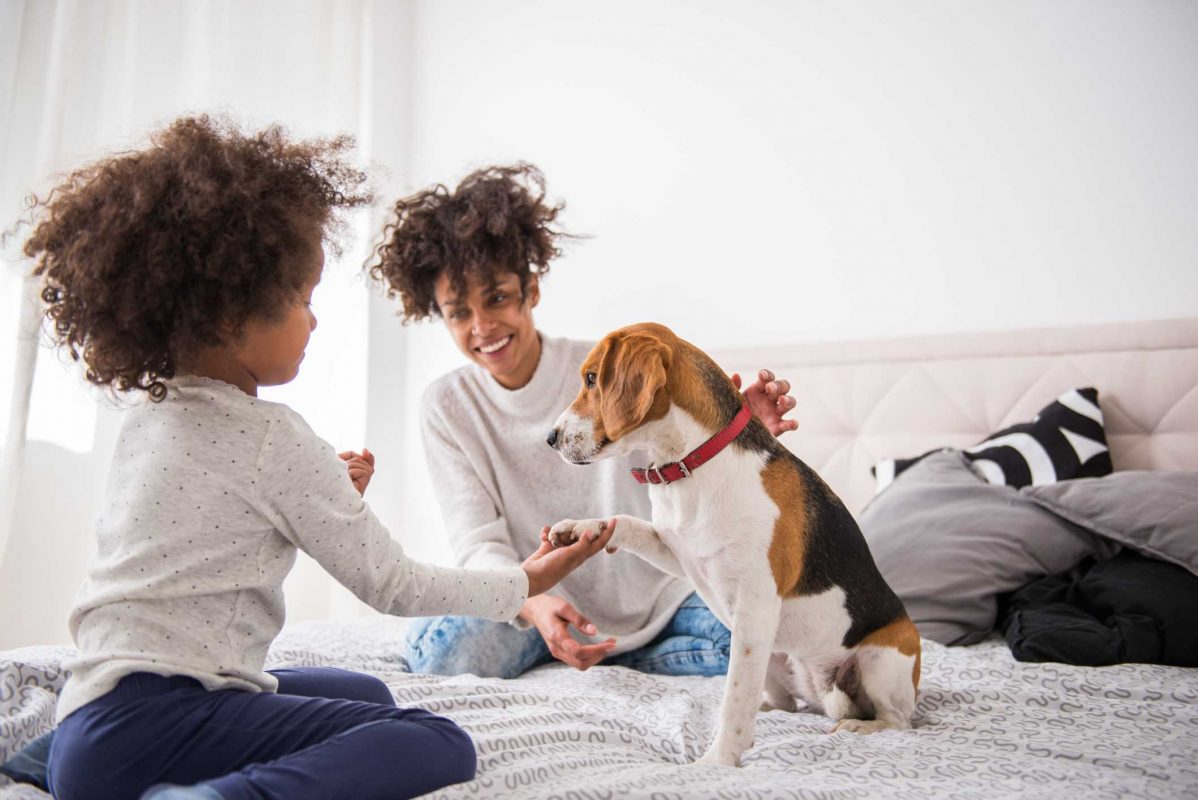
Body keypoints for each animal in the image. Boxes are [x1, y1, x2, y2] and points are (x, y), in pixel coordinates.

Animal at [548, 320, 920, 766]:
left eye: (591, 379)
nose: (550, 438)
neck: (691, 464)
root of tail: (823, 688)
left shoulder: (754, 609)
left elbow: (734, 699)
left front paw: (717, 762)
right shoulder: (677, 552)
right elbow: (625, 522)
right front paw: (582, 528)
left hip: (877, 657)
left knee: (898, 720)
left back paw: (858, 726)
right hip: (774, 657)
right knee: (786, 705)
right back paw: (775, 709)